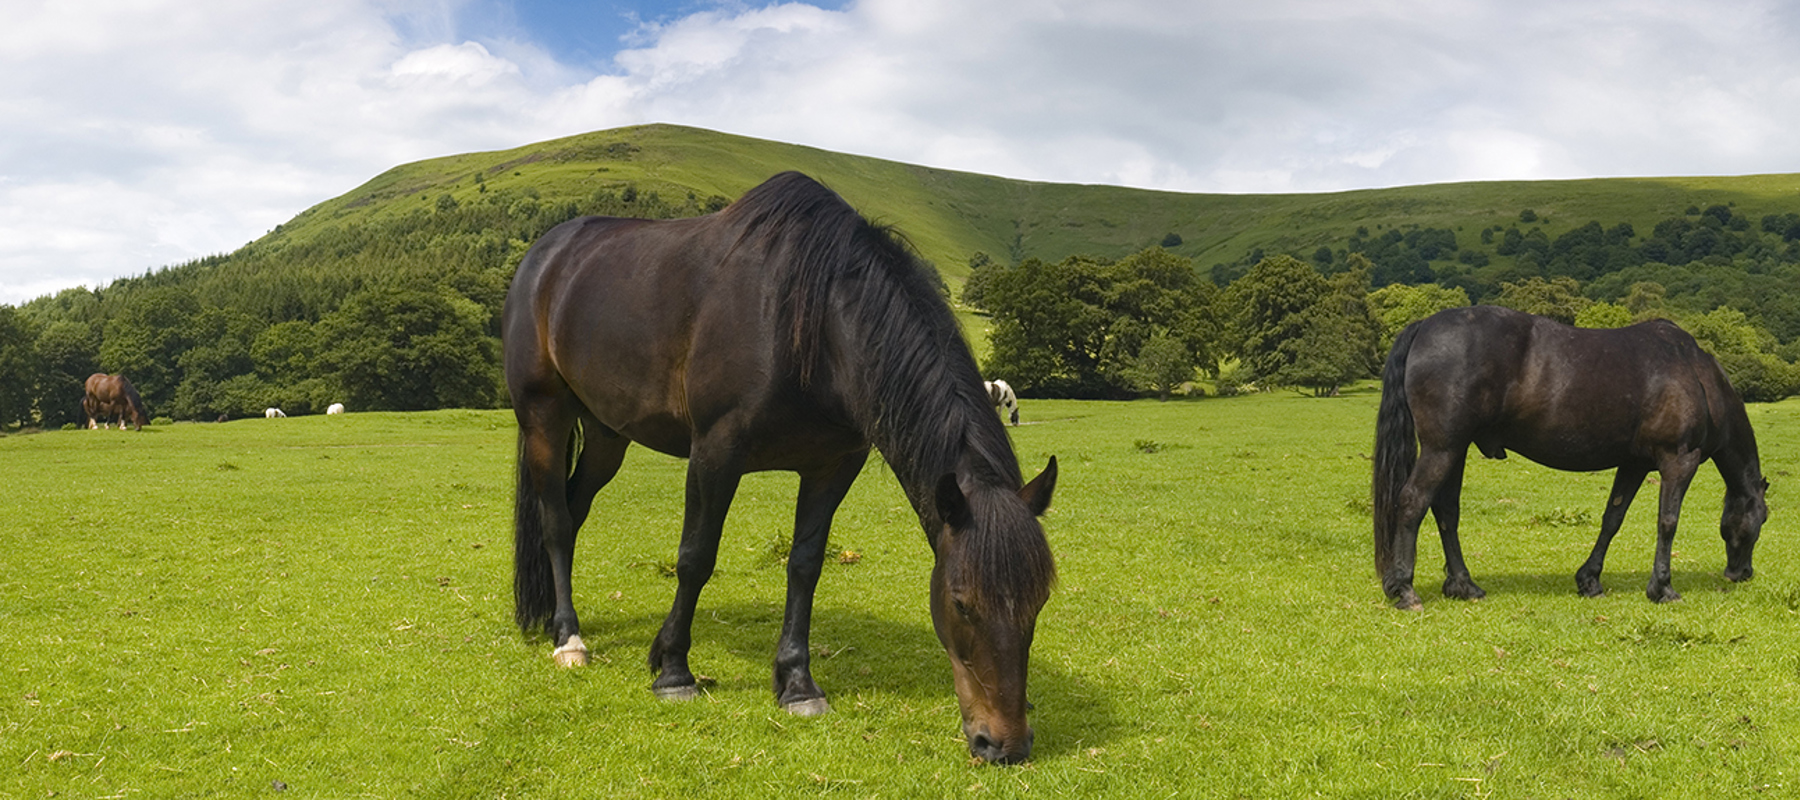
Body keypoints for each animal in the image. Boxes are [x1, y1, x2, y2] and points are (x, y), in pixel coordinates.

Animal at [504, 172, 1058, 764]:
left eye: (1039, 600)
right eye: (961, 603)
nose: (1005, 743)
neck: (813, 323)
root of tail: (543, 255)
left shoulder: (833, 466)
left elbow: (805, 565)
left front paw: (796, 683)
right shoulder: (715, 453)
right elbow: (695, 558)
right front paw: (673, 670)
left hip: (609, 434)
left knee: (573, 511)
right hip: (545, 416)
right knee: (556, 522)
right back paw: (568, 637)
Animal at [1373, 305, 1767, 609]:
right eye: (1762, 518)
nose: (1742, 573)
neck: (1696, 374)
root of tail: (1424, 325)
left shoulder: (1634, 463)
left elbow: (1613, 518)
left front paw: (1589, 580)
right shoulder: (1678, 460)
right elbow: (1667, 522)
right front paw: (1662, 588)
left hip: (1454, 451)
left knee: (1446, 511)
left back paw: (1463, 585)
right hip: (1443, 449)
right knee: (1412, 503)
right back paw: (1405, 589)